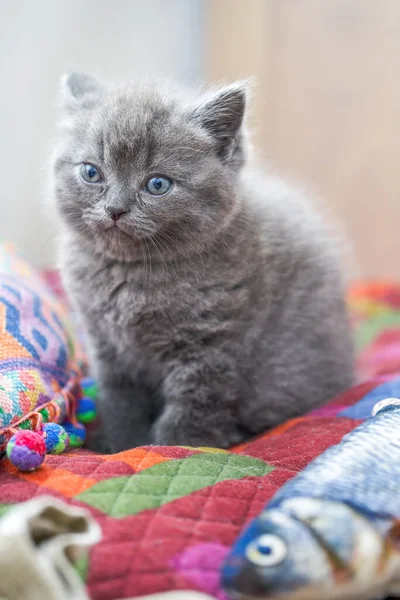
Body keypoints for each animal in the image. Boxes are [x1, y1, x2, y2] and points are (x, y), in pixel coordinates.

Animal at [50, 74, 354, 450]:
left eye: (157, 184)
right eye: (91, 173)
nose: (115, 209)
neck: (130, 273)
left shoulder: (211, 345)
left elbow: (194, 405)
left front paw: (172, 447)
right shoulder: (107, 349)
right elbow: (120, 402)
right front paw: (122, 445)